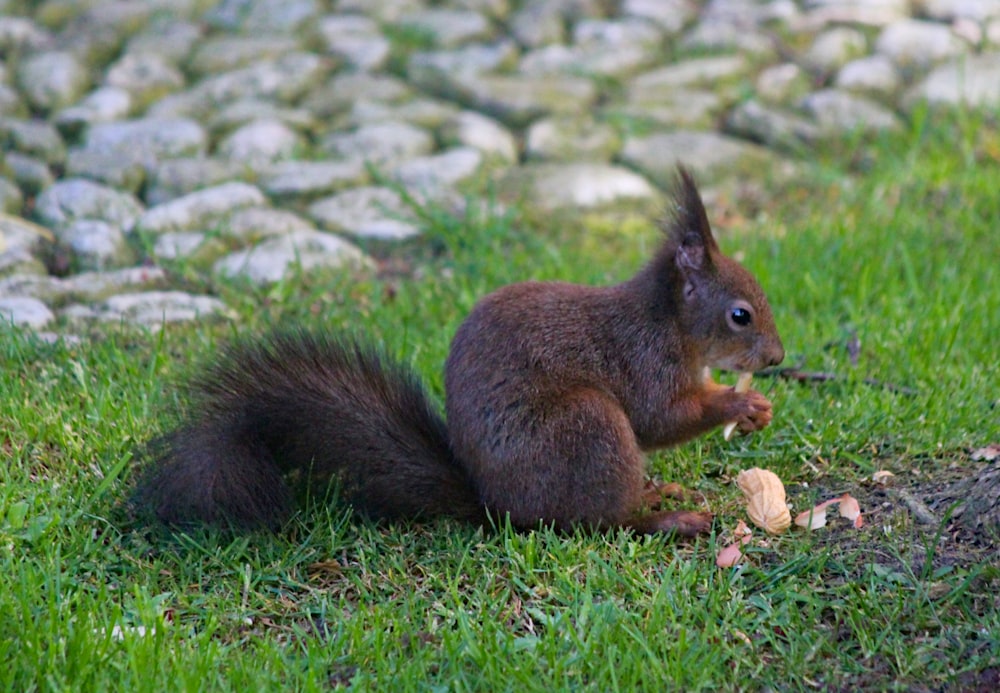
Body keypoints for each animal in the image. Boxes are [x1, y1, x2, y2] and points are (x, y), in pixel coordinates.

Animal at [135, 168, 788, 536]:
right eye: (740, 315)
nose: (778, 359)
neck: (668, 321)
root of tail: (495, 507)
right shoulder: (643, 362)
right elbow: (661, 418)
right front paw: (737, 406)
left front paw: (757, 409)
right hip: (589, 429)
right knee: (602, 523)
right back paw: (669, 519)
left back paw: (660, 493)